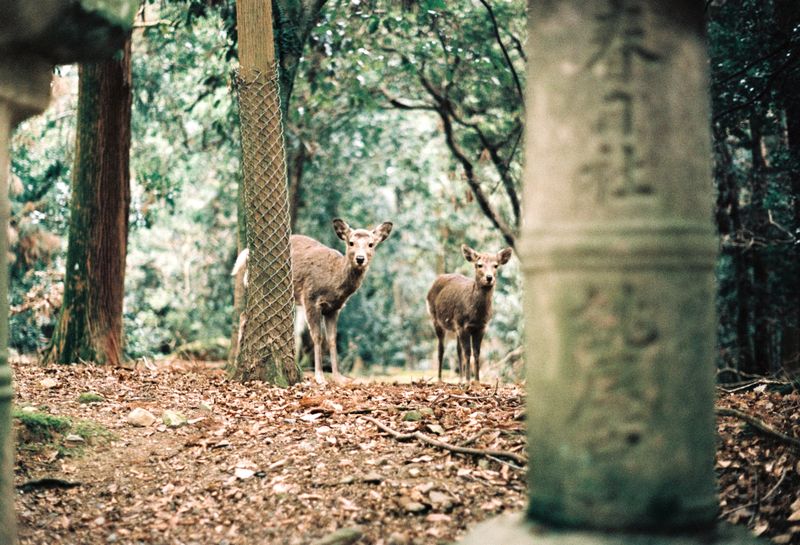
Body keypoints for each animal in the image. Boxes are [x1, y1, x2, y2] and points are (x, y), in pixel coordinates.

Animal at [232, 218, 393, 384]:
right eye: (351, 242)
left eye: (371, 244)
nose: (360, 259)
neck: (334, 283)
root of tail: (246, 253)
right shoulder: (310, 297)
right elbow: (317, 337)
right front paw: (320, 376)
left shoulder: (334, 308)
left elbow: (332, 339)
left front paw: (339, 377)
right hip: (255, 283)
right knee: (244, 315)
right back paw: (236, 363)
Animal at [426, 244, 513, 383]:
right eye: (479, 265)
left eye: (496, 265)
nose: (489, 277)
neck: (475, 314)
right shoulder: (463, 325)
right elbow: (468, 352)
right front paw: (468, 380)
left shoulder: (481, 327)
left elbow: (476, 353)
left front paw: (476, 381)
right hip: (435, 319)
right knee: (441, 349)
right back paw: (440, 379)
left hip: (455, 327)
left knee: (457, 350)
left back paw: (460, 379)